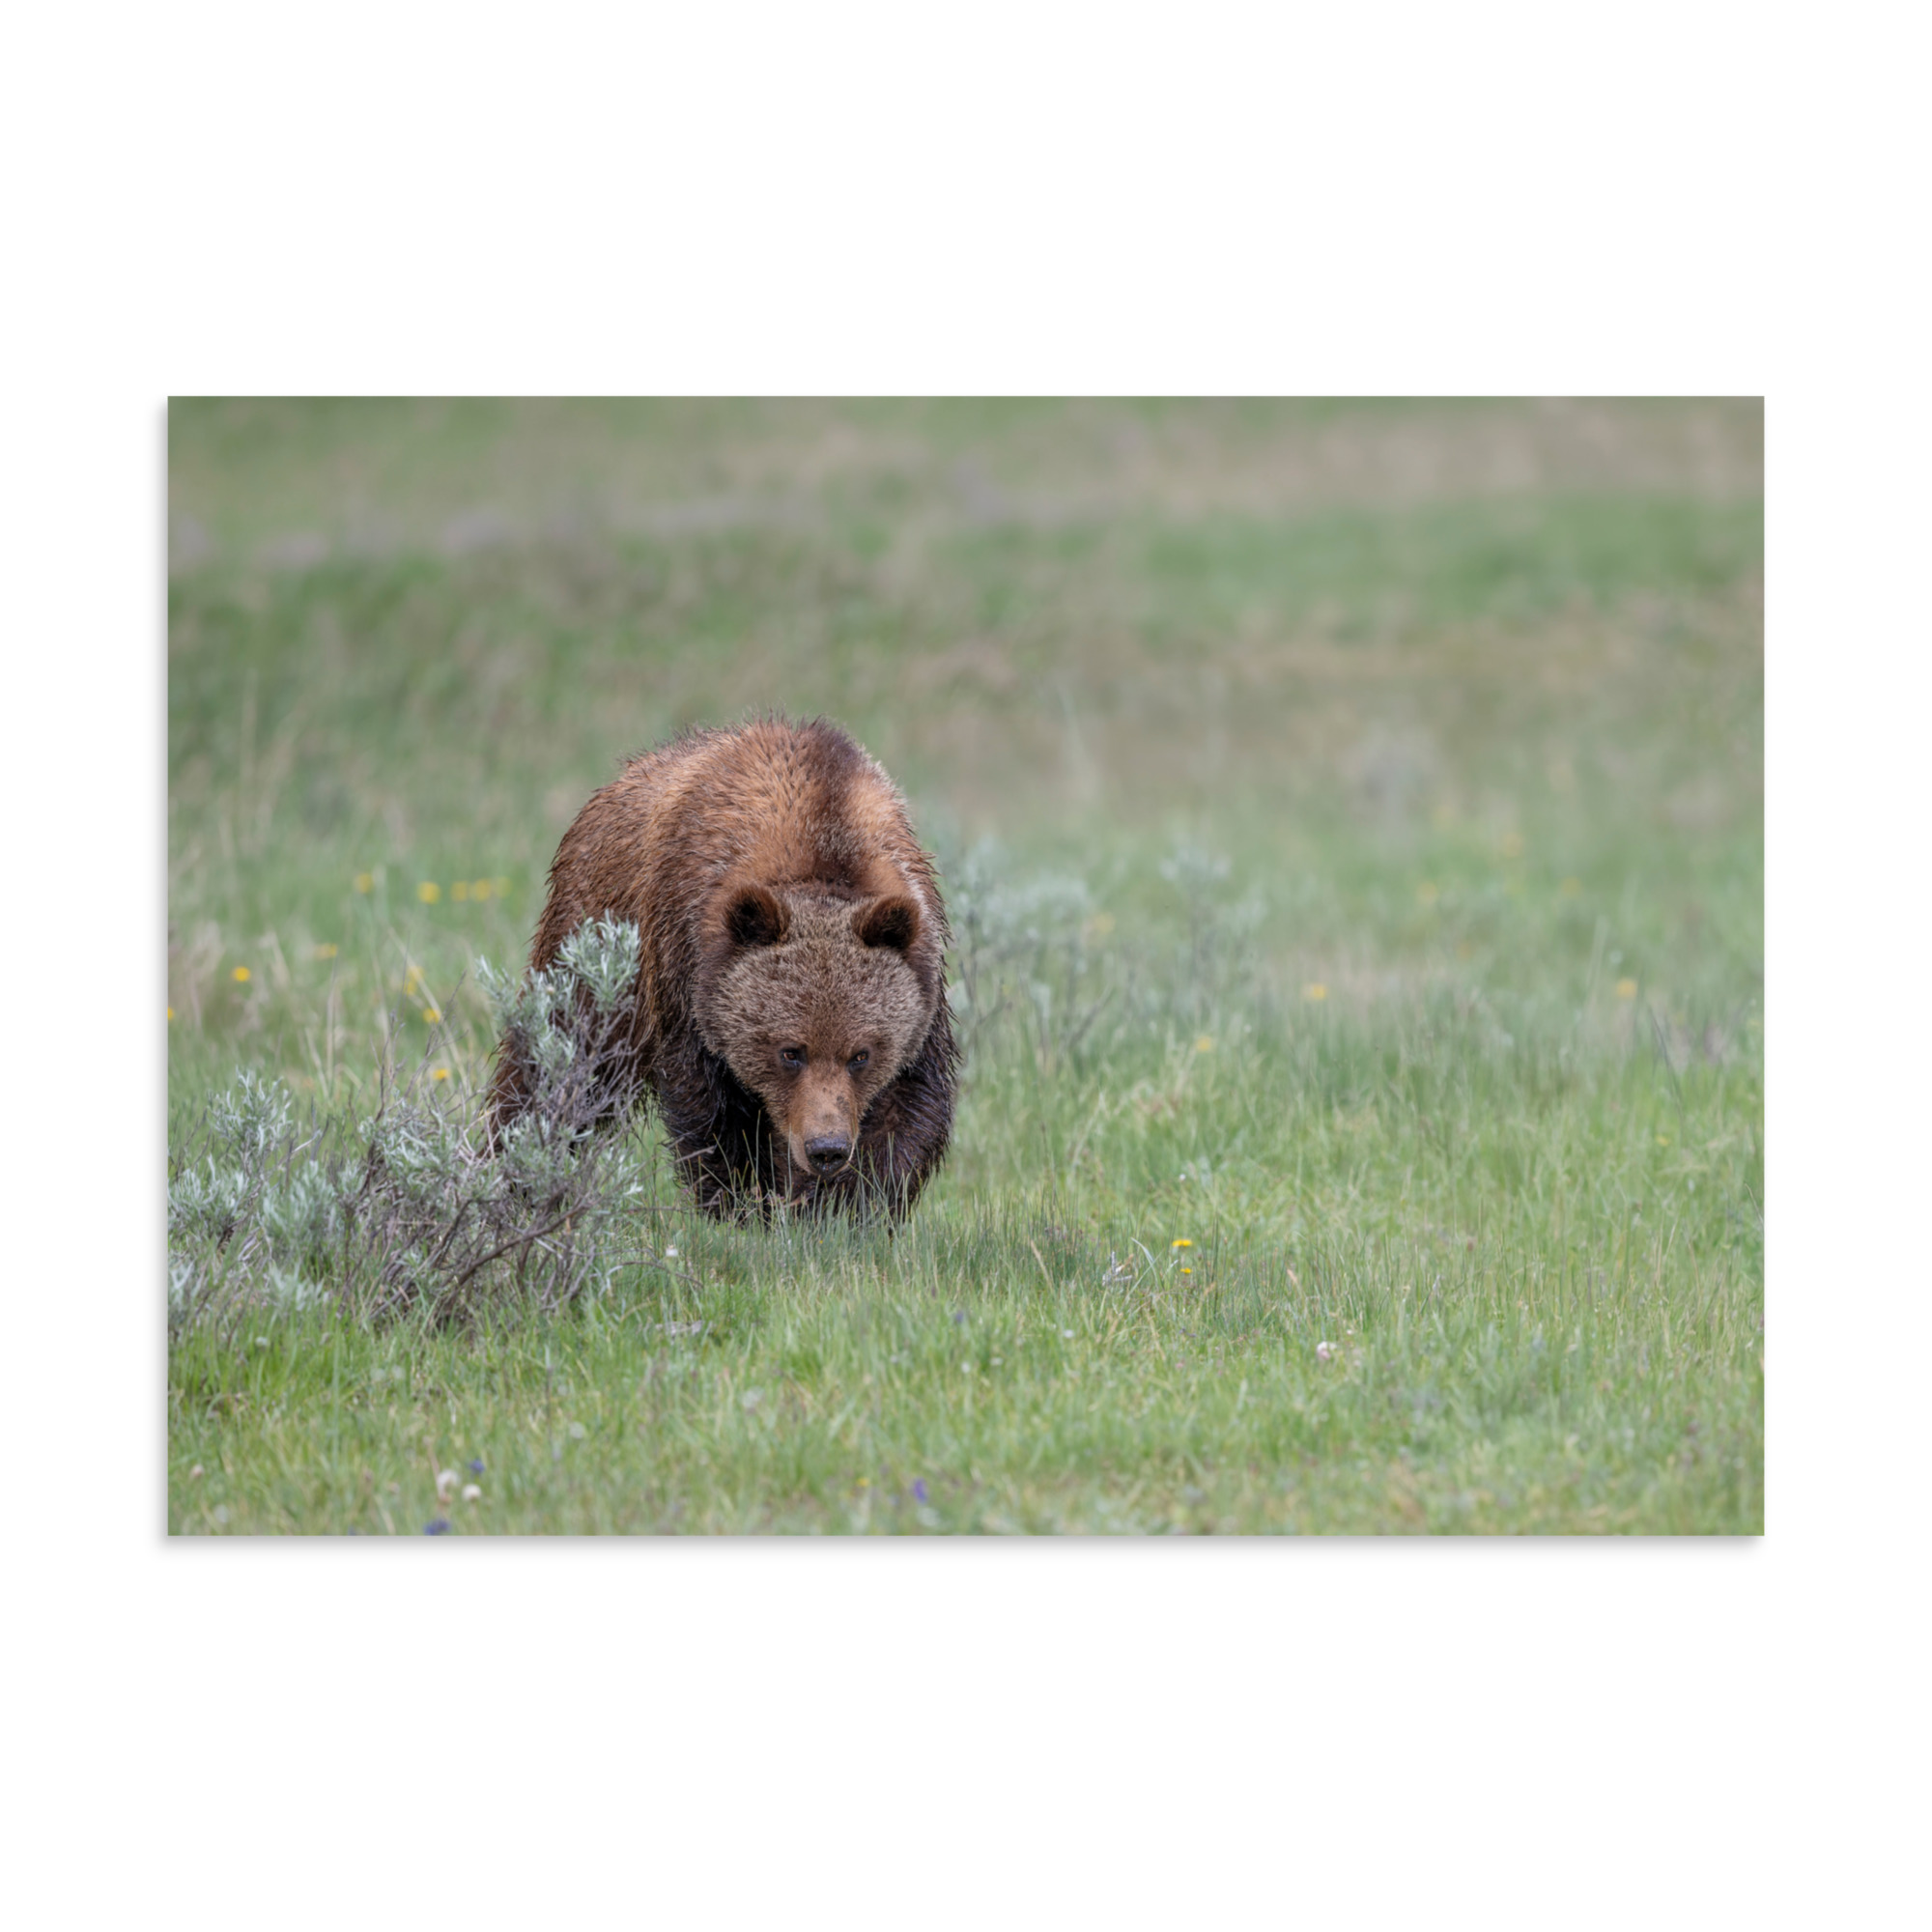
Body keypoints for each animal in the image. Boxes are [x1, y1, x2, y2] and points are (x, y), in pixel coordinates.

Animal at [486, 717, 959, 1219]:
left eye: (861, 1054)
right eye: (790, 1051)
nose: (826, 1148)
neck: (823, 840)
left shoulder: (922, 982)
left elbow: (907, 1110)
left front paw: (843, 1208)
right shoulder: (686, 969)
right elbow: (713, 1112)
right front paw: (742, 1205)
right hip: (595, 944)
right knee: (559, 1061)